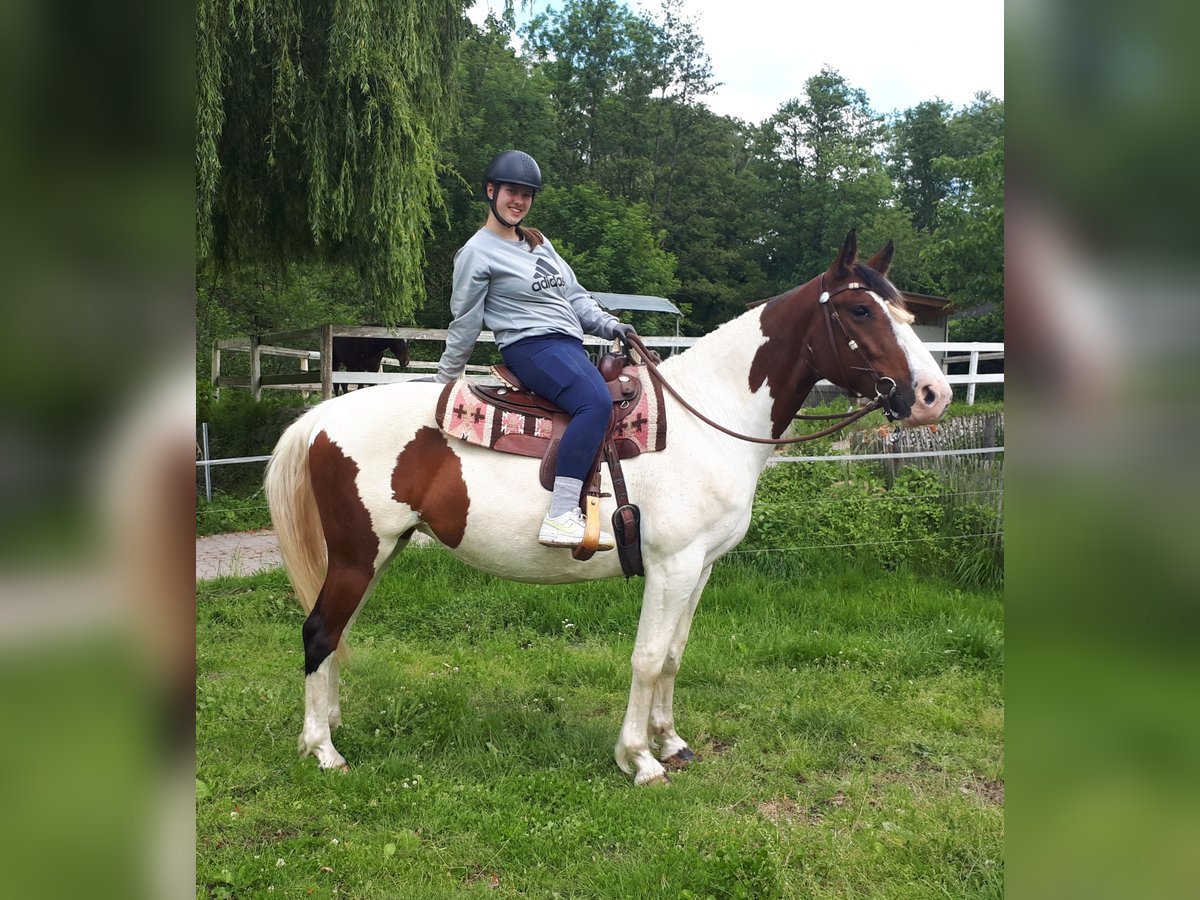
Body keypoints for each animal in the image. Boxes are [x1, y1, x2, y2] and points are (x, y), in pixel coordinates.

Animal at [265, 230, 955, 782]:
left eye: (904, 310)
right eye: (861, 309)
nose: (933, 395)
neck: (708, 419)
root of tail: (322, 417)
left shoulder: (700, 568)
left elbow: (674, 654)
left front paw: (671, 741)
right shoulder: (671, 566)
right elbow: (647, 659)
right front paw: (639, 758)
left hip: (375, 553)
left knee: (335, 632)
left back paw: (330, 726)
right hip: (358, 553)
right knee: (319, 630)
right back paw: (322, 750)